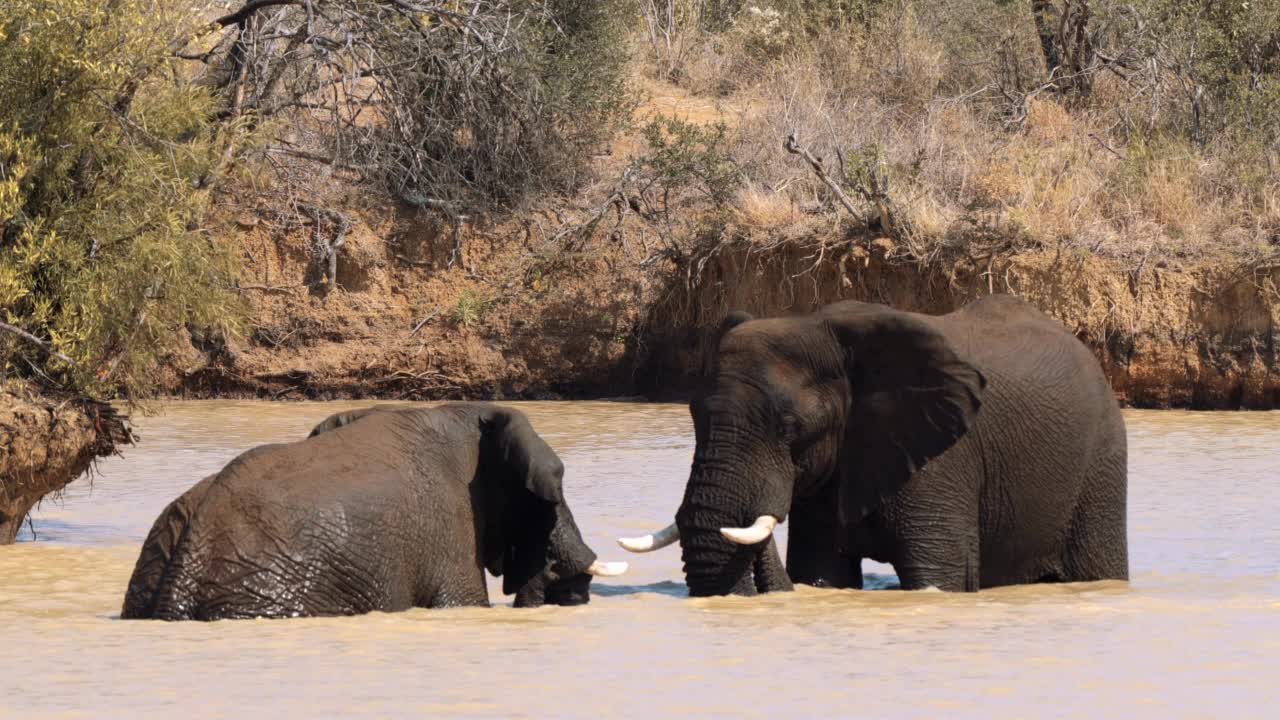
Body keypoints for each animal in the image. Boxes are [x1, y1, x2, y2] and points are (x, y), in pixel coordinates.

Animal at [622, 293, 1131, 594]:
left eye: (789, 427)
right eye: (693, 416)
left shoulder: (943, 460)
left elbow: (940, 575)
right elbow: (821, 572)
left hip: (1101, 462)